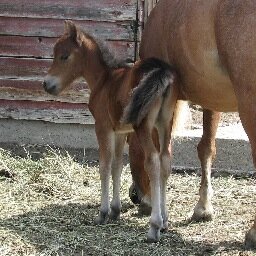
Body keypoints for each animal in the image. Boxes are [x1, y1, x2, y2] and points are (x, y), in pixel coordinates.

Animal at [43, 21, 177, 242]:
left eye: (64, 56)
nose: (46, 84)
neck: (104, 80)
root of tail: (161, 71)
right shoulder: (120, 131)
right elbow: (117, 166)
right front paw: (115, 210)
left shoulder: (103, 127)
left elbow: (104, 167)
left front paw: (103, 213)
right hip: (165, 124)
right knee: (165, 161)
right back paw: (165, 221)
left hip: (143, 125)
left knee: (153, 161)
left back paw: (154, 227)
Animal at [129, 0, 256, 248]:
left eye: (129, 142)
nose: (136, 196)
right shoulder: (212, 99)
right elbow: (206, 148)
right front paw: (203, 209)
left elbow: (163, 155)